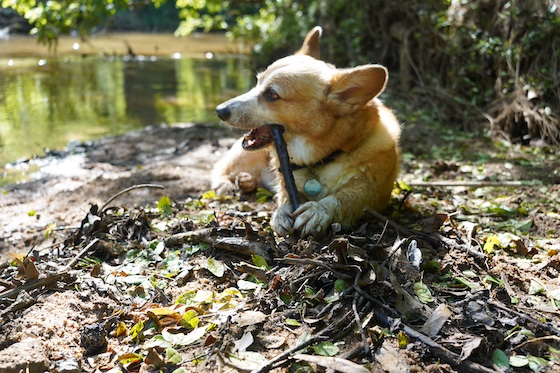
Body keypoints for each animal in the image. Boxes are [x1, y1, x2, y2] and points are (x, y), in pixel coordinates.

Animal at [212, 25, 400, 235]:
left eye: (271, 94)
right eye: (257, 82)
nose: (219, 111)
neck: (323, 158)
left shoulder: (374, 193)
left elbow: (346, 198)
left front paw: (319, 210)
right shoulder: (286, 181)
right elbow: (286, 195)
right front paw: (281, 212)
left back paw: (246, 181)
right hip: (246, 156)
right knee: (221, 168)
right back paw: (228, 183)